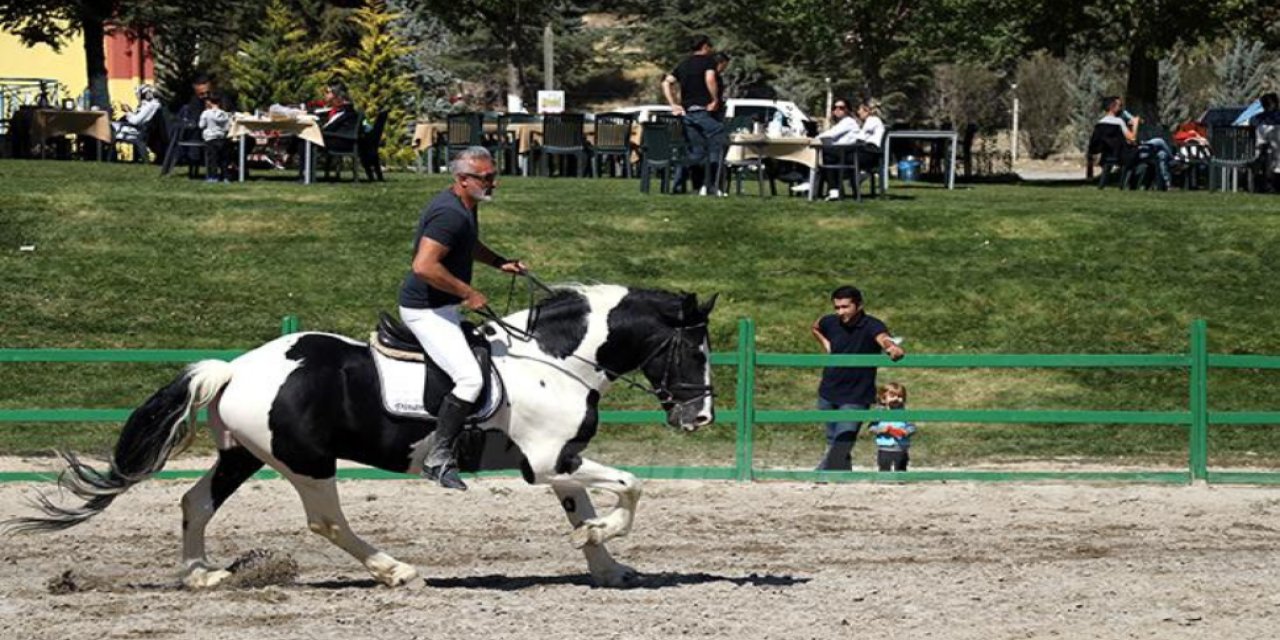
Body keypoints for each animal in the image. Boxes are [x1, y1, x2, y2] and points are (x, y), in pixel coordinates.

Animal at [7, 285, 711, 588]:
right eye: (695, 350)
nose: (698, 419)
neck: (554, 359)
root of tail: (235, 368)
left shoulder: (561, 461)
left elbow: (586, 505)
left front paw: (606, 562)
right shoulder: (548, 460)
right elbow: (630, 487)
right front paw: (601, 540)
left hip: (243, 457)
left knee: (195, 502)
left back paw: (201, 576)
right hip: (308, 463)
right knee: (327, 523)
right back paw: (395, 570)